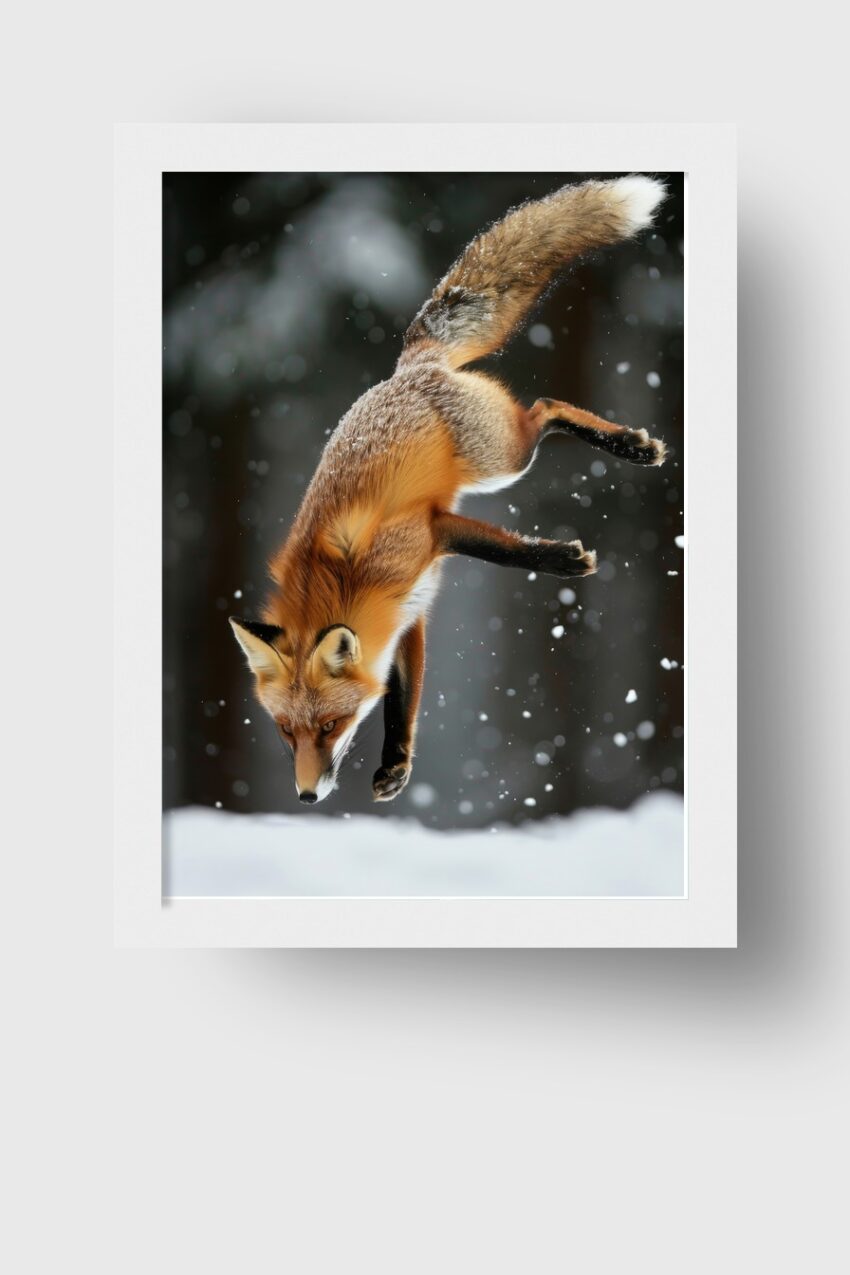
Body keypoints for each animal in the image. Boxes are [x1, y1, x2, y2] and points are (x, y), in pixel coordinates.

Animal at [230, 175, 668, 805]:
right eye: (287, 732)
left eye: (331, 726)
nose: (307, 796)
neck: (342, 585)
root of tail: (410, 365)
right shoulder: (406, 614)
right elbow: (402, 699)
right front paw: (396, 765)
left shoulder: (430, 532)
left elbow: (503, 550)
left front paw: (562, 560)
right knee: (545, 408)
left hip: (505, 460)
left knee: (546, 408)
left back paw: (630, 446)